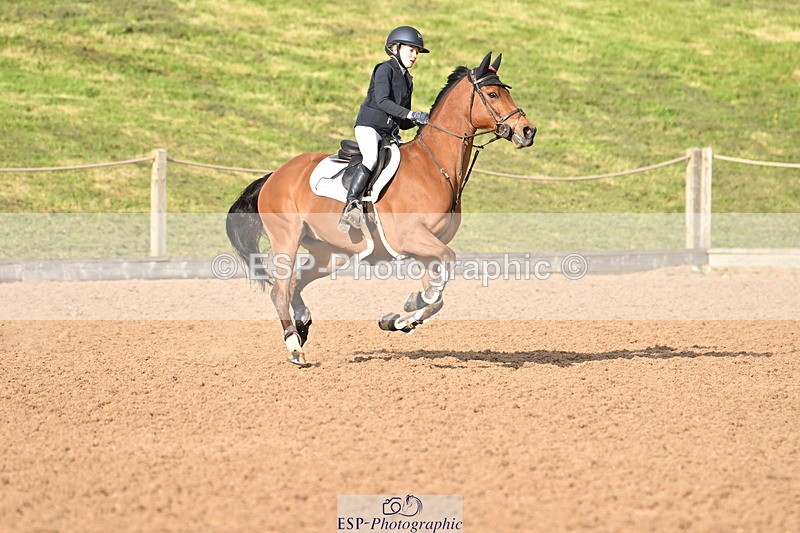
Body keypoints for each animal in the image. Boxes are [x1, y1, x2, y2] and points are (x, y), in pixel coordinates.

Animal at [226, 52, 536, 365]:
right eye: (493, 94)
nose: (528, 131)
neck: (433, 167)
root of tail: (274, 175)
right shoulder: (411, 238)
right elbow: (444, 270)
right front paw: (412, 304)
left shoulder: (427, 249)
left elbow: (436, 298)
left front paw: (399, 319)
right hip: (287, 239)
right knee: (280, 290)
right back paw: (294, 346)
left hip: (331, 252)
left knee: (295, 285)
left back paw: (302, 324)